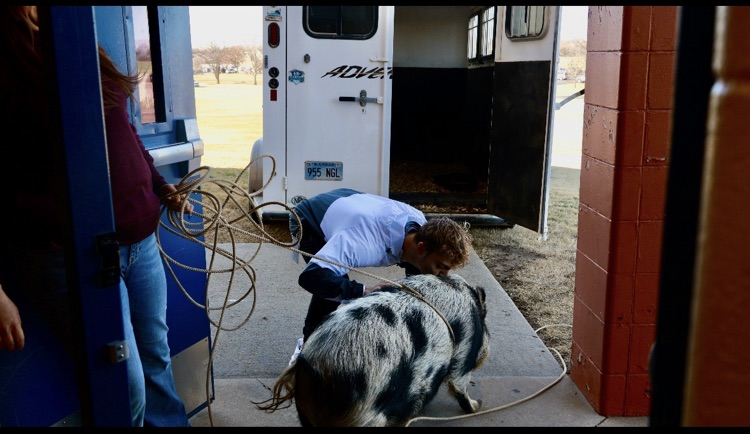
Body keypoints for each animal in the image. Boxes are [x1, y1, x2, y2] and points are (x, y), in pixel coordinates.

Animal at [255, 273, 490, 427]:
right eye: (486, 325)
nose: (486, 349)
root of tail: (320, 369)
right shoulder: (464, 352)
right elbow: (459, 384)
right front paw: (477, 406)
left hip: (306, 412)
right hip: (367, 414)